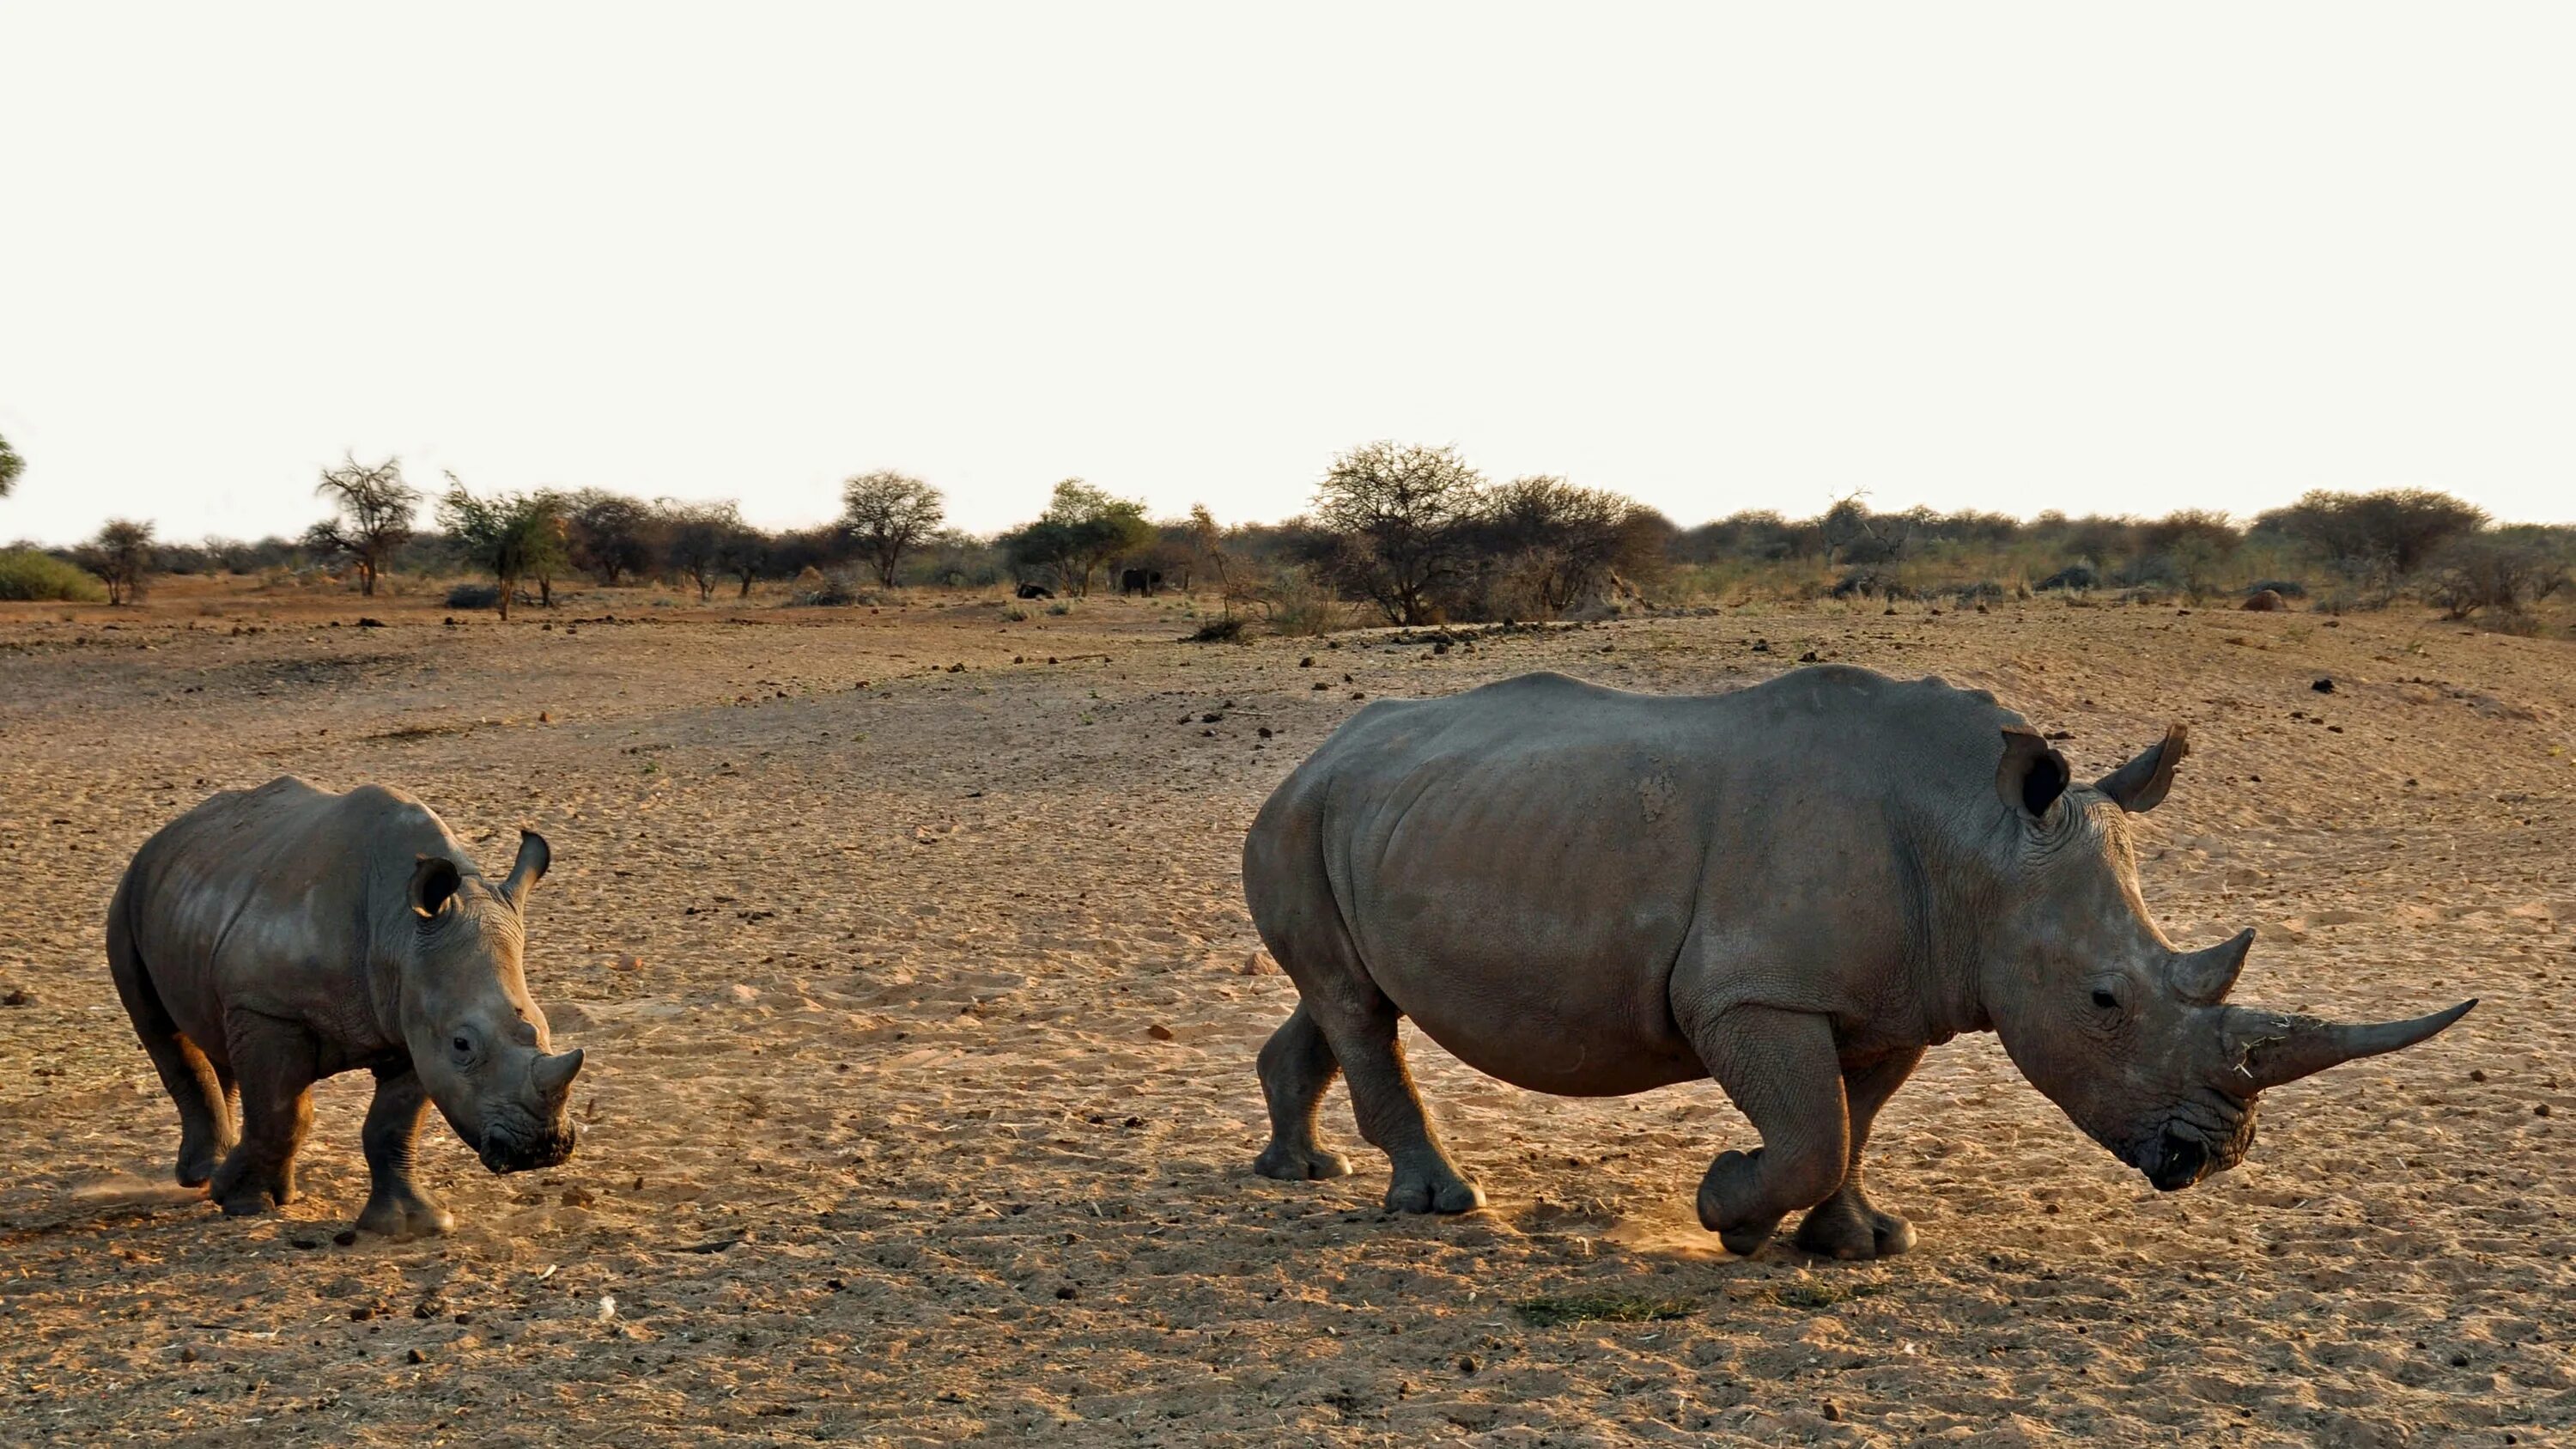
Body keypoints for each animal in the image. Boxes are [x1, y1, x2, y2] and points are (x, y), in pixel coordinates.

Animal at [109, 773, 585, 1237]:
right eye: (462, 1045)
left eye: (543, 1028)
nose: (543, 1147)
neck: (399, 929)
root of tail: (168, 833)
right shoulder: (268, 1008)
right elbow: (283, 1114)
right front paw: (241, 1203)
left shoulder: (413, 1018)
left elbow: (394, 1125)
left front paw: (411, 1225)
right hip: (130, 891)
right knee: (160, 1028)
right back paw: (205, 1176)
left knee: (211, 1029)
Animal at [1247, 665, 2473, 1252]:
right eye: (2103, 1000)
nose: (2210, 1159)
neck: (1979, 839)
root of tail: (1322, 749)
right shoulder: (1752, 992)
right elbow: (1811, 1129)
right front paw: (1727, 1211)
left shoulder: (1902, 996)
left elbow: (1854, 1121)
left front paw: (1859, 1244)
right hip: (1302, 813)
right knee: (1356, 1003)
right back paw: (1441, 1204)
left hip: (1376, 813)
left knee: (1341, 994)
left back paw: (1300, 1172)